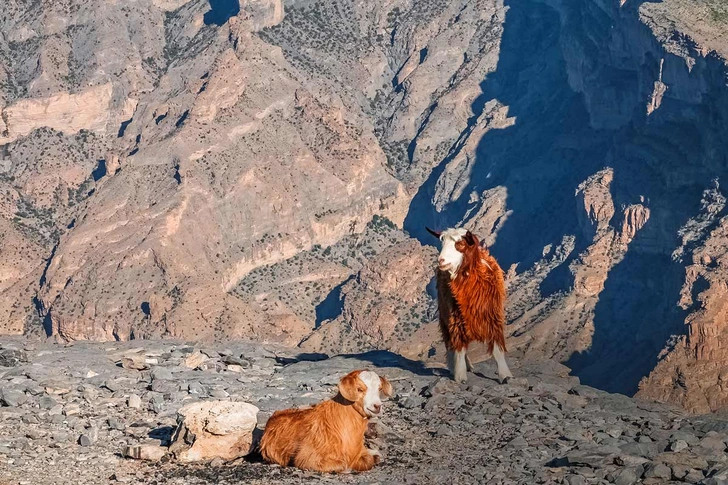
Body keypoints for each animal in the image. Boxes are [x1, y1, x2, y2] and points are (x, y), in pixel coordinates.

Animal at [258, 368, 392, 470]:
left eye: (379, 389)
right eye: (359, 389)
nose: (377, 406)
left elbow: (373, 458)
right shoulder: (308, 458)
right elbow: (343, 465)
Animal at [426, 226, 512, 382]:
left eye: (460, 245)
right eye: (442, 243)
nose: (440, 260)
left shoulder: (493, 316)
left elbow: (497, 347)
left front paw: (505, 374)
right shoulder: (455, 316)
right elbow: (459, 348)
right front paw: (460, 376)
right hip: (445, 314)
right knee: (450, 343)